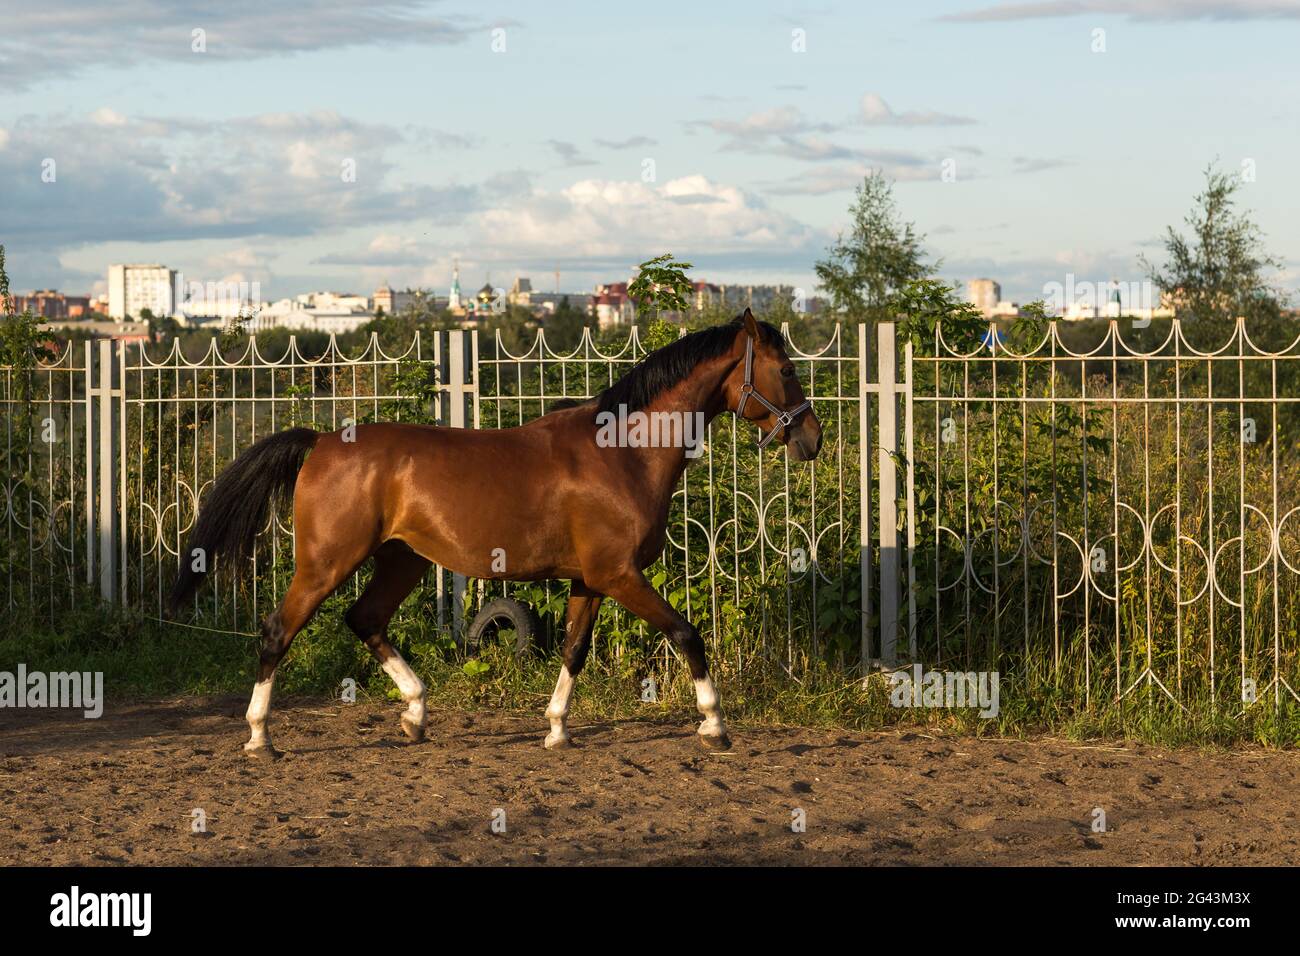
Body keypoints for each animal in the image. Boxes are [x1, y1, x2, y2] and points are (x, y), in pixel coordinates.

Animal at [170, 312, 821, 754]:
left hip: (401, 560)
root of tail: (323, 440)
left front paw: (556, 731)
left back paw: (415, 714)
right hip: (326, 563)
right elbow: (687, 634)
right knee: (278, 632)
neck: (625, 453)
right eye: (786, 370)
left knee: (365, 619)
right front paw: (715, 724)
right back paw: (260, 737)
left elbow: (574, 649)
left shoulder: (591, 580)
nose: (810, 438)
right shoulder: (620, 574)